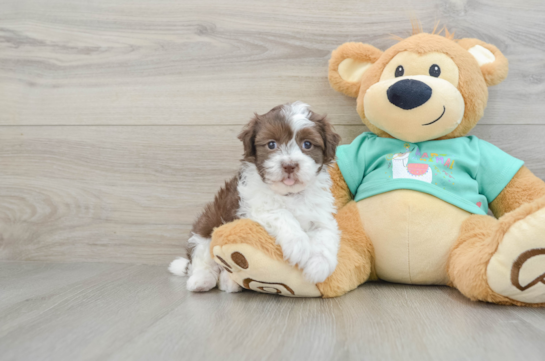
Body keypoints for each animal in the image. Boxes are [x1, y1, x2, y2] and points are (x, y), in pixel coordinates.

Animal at [169, 102, 340, 292]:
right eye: (271, 144)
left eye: (307, 144)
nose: (289, 165)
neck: (289, 194)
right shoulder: (250, 207)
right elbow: (280, 213)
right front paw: (299, 244)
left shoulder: (320, 214)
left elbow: (326, 232)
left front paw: (319, 267)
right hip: (206, 228)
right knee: (202, 258)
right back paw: (202, 280)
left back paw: (228, 282)